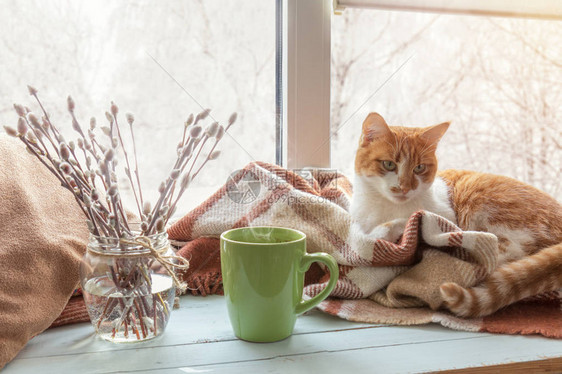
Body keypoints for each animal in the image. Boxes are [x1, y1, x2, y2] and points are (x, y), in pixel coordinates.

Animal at [350, 112, 560, 318]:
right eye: (388, 164)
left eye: (419, 168)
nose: (405, 187)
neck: (386, 206)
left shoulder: (442, 216)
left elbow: (389, 227)